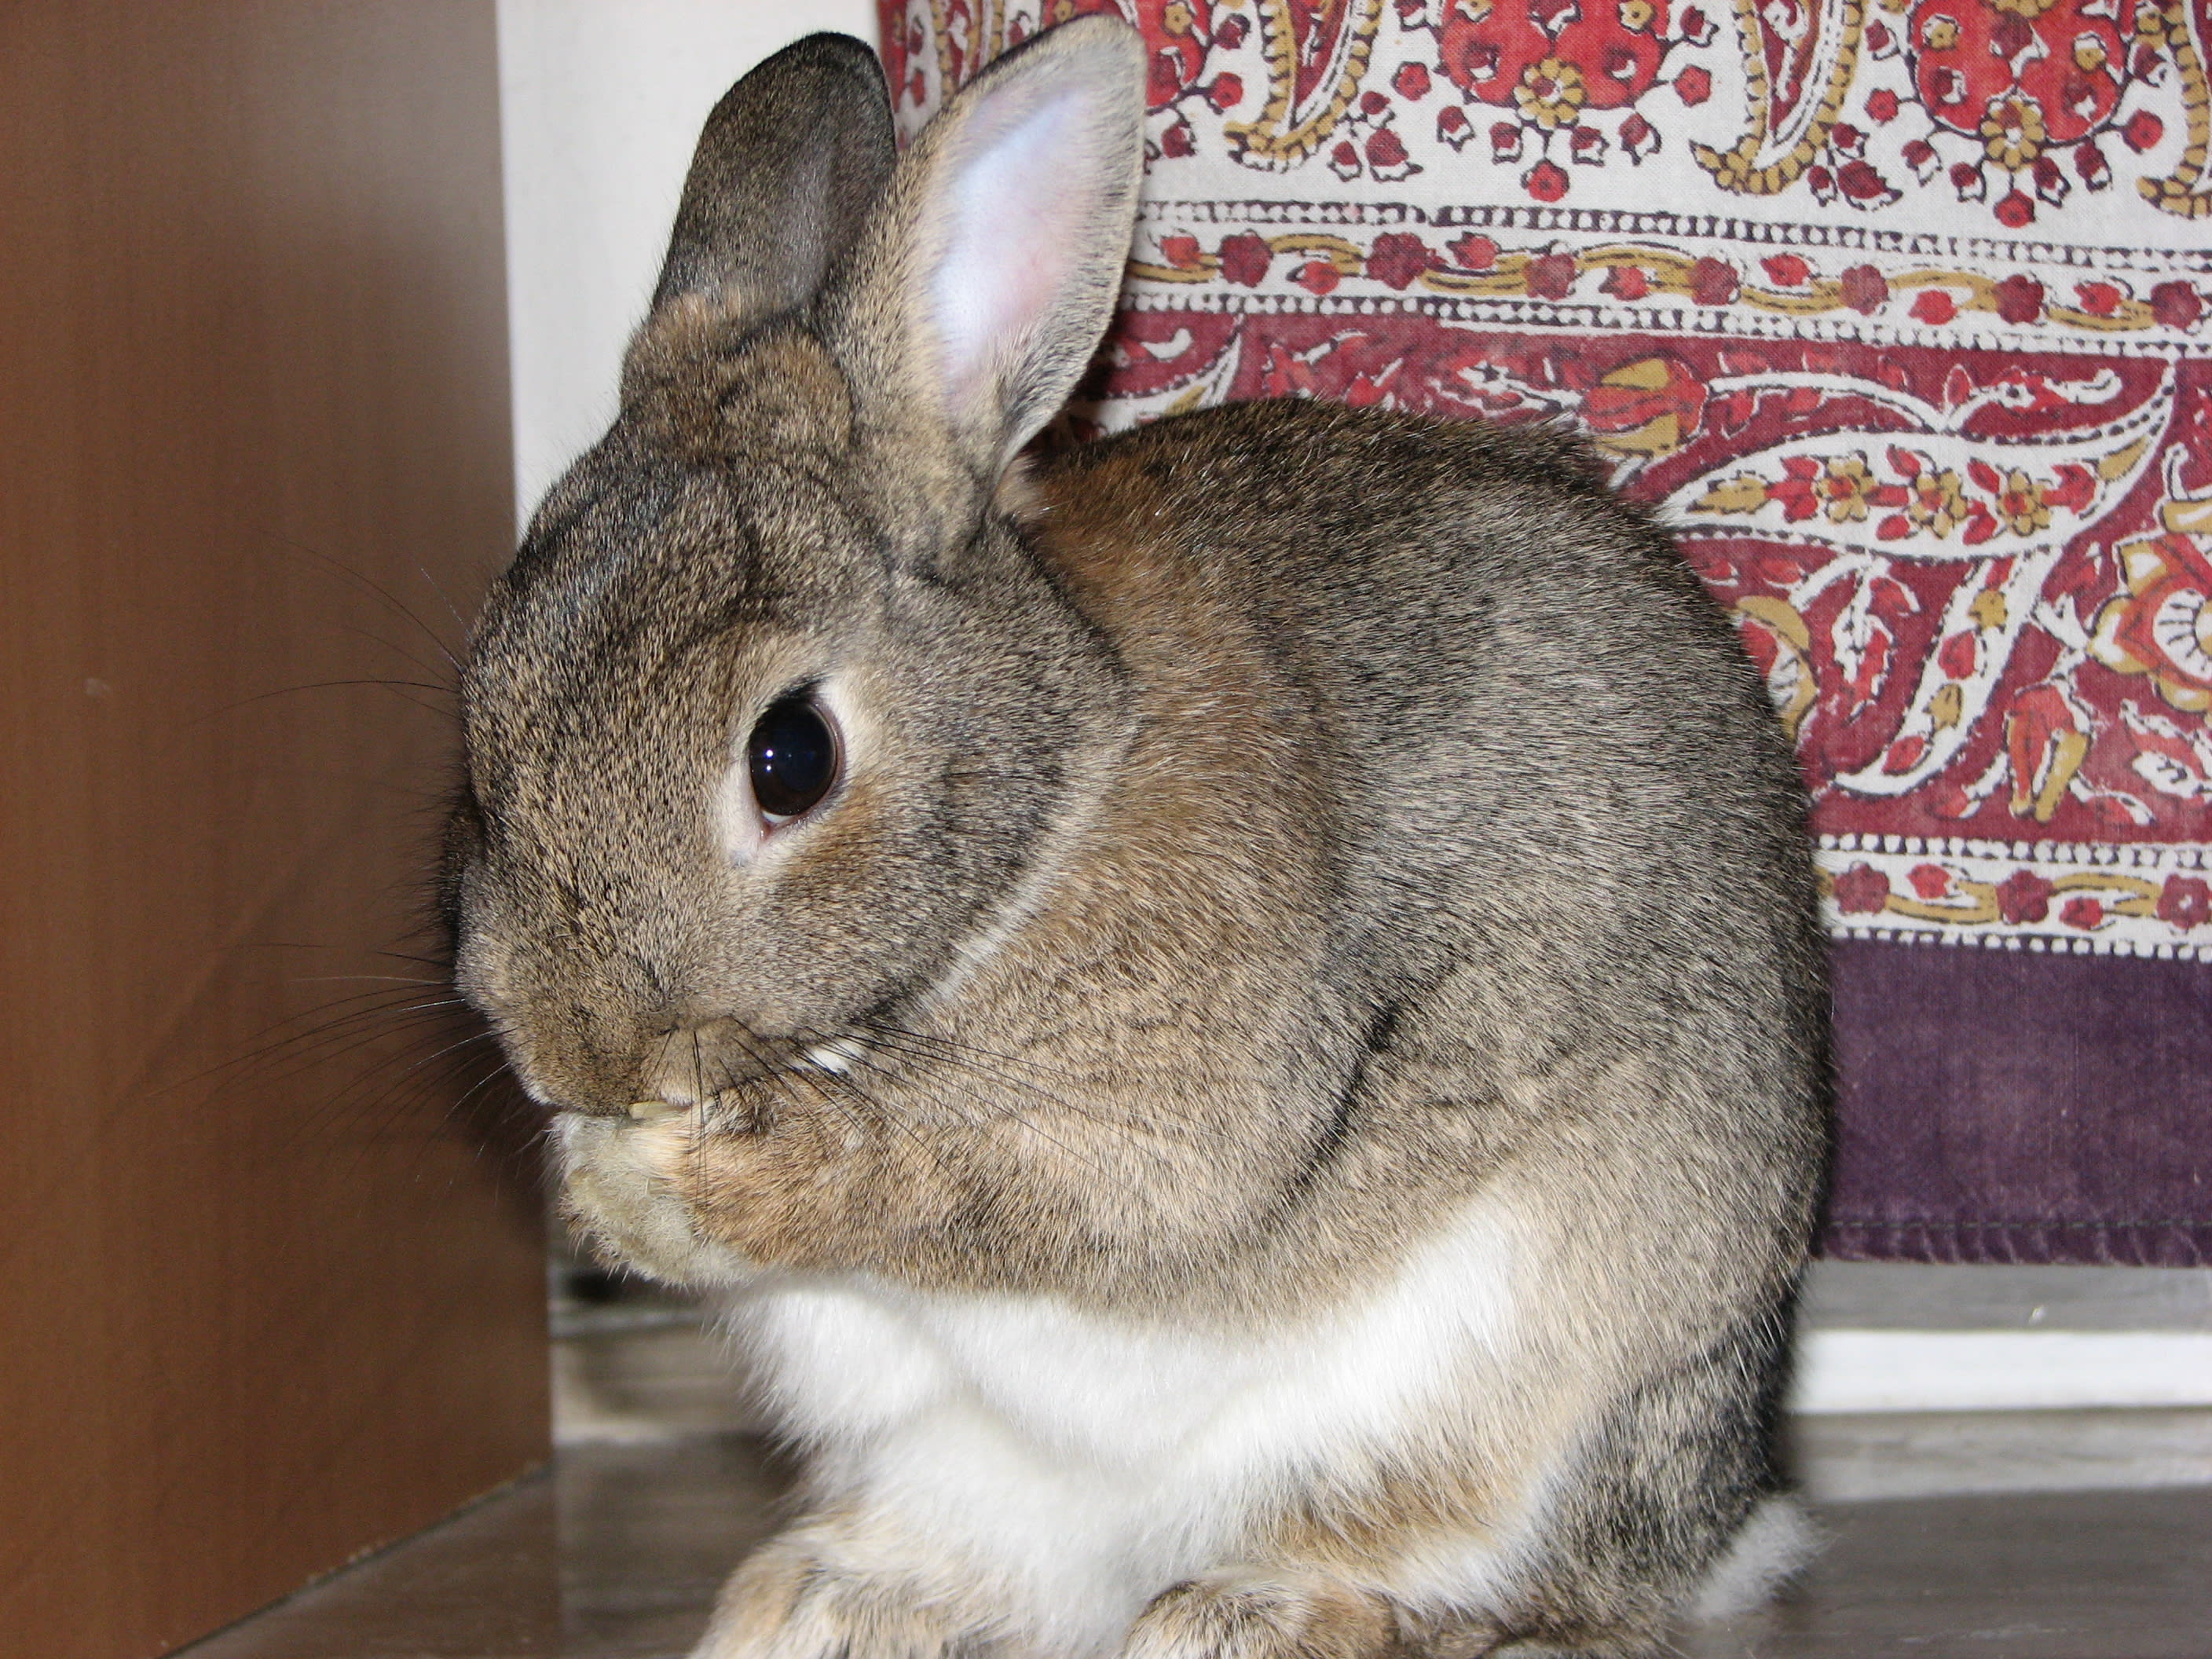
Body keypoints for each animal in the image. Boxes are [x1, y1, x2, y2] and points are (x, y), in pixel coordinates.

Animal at [447, 17, 1830, 1659]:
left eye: (790, 758)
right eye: (484, 701)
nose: (578, 1058)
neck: (1041, 809)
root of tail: (1730, 1517)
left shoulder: (1165, 1127)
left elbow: (971, 1188)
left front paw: (687, 1172)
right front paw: (603, 1188)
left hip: (1532, 1391)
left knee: (1485, 1570)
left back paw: (1245, 1612)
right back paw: (813, 1604)